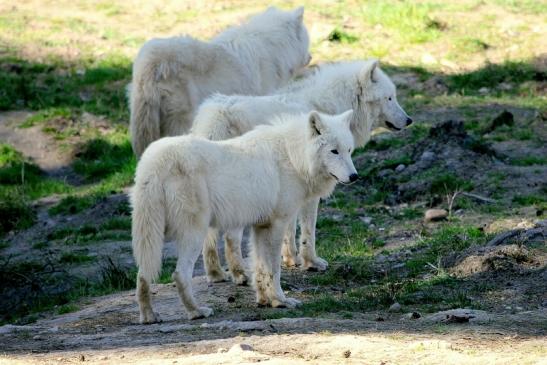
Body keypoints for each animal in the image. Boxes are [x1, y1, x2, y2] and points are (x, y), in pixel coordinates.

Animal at [131, 109, 358, 320]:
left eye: (349, 150)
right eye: (334, 151)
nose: (354, 176)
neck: (294, 157)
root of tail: (155, 162)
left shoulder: (261, 226)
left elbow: (259, 268)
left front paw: (266, 301)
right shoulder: (277, 225)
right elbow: (273, 269)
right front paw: (281, 300)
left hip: (151, 237)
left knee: (142, 274)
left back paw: (149, 316)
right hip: (193, 233)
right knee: (179, 274)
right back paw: (197, 312)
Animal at [193, 59, 412, 282]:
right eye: (389, 97)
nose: (409, 120)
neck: (326, 106)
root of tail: (216, 116)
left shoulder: (290, 191)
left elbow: (289, 228)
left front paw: (291, 258)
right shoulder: (308, 190)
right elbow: (308, 230)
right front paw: (311, 262)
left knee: (210, 238)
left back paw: (216, 274)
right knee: (230, 236)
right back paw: (240, 274)